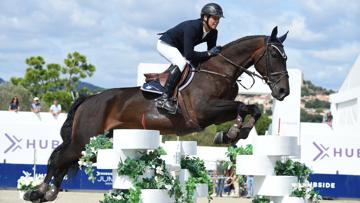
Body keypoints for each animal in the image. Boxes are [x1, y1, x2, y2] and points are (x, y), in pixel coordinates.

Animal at [24, 25, 290, 201]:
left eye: (285, 57)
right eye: (274, 55)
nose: (283, 91)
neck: (220, 71)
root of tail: (89, 99)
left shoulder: (215, 112)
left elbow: (251, 108)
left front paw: (233, 134)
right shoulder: (205, 111)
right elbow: (244, 106)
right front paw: (233, 133)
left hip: (93, 142)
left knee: (63, 160)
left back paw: (48, 193)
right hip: (85, 139)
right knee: (58, 158)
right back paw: (37, 191)